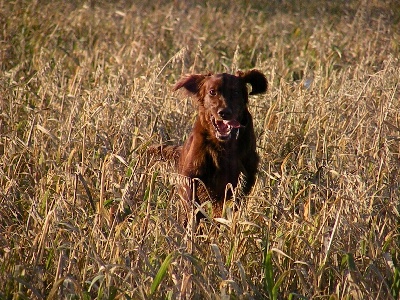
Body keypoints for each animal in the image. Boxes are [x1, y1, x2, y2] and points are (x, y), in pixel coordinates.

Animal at [152, 70, 268, 219]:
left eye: (236, 92)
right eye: (212, 91)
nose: (224, 112)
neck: (223, 145)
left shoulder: (244, 177)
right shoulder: (190, 174)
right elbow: (192, 205)